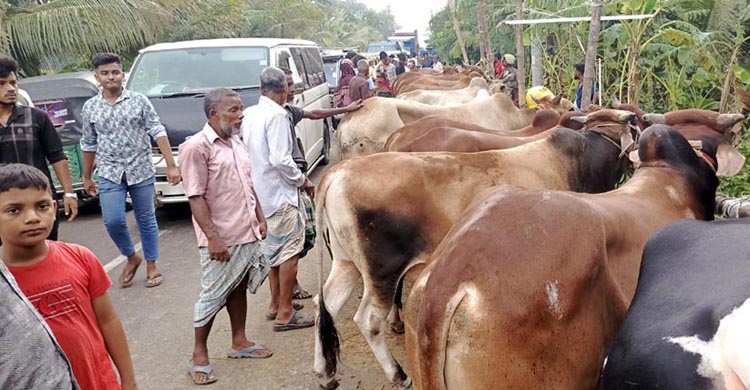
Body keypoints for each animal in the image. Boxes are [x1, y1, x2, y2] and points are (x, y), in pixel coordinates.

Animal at [312, 108, 640, 388]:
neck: (579, 161)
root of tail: (337, 174)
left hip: (347, 264)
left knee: (325, 302)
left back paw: (325, 372)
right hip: (382, 271)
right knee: (368, 320)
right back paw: (398, 374)